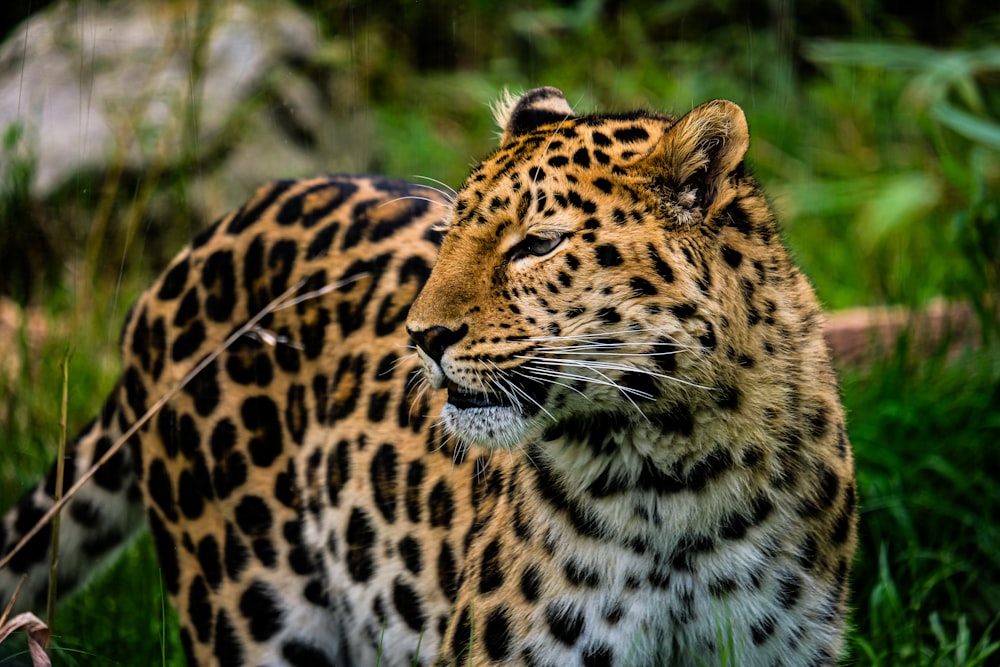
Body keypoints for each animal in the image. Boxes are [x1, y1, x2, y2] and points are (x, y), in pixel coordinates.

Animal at [1, 86, 860, 664]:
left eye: (538, 244)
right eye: (453, 233)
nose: (422, 336)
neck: (677, 473)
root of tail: (181, 261)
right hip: (246, 606)